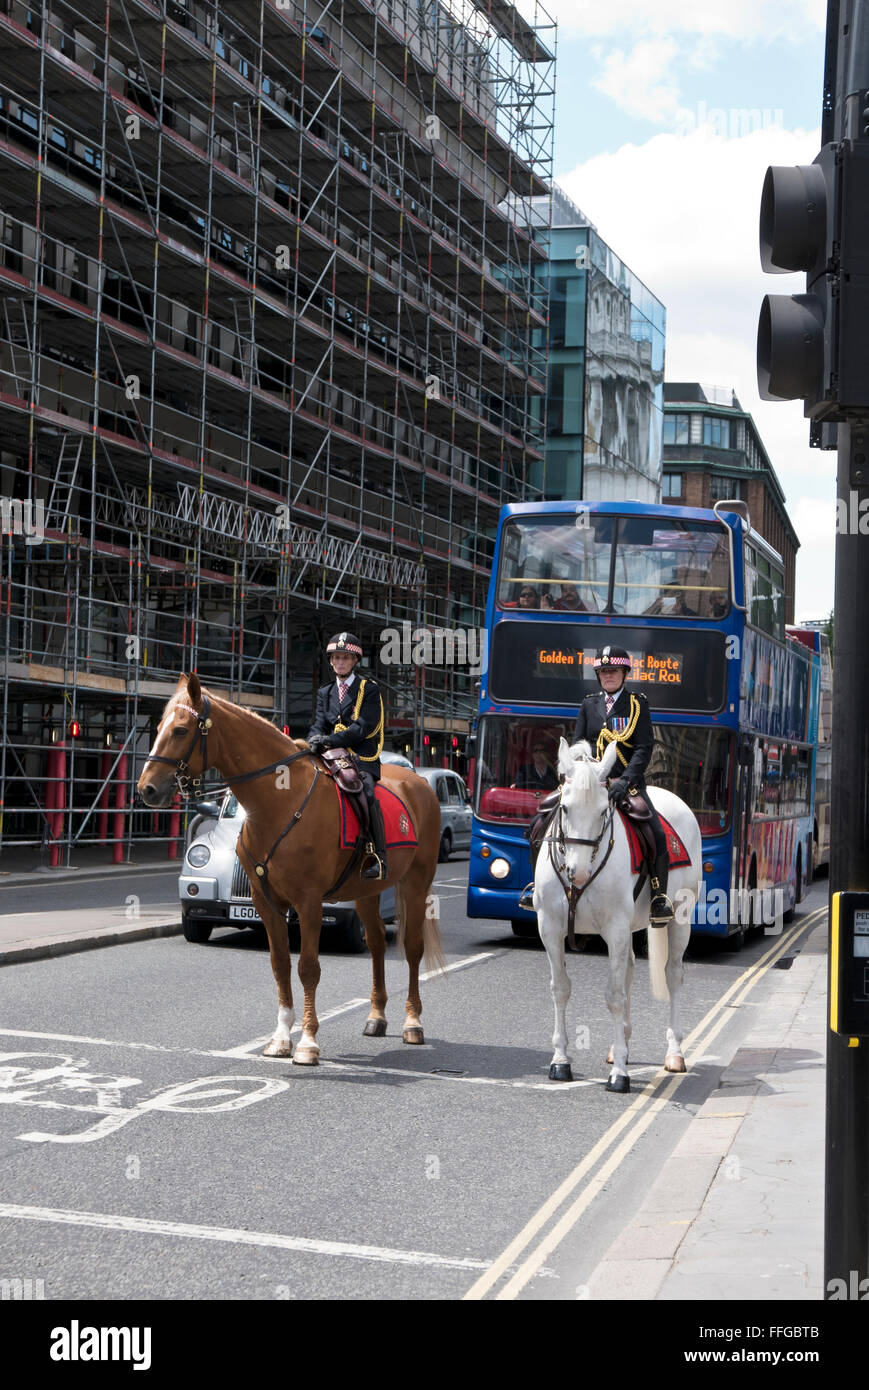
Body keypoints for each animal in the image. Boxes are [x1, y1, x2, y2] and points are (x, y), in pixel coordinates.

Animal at [140, 672, 447, 1061]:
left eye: (180, 730)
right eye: (158, 726)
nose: (146, 788)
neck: (278, 802)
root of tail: (417, 780)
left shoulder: (309, 902)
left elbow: (308, 968)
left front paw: (308, 1041)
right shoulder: (267, 902)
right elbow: (280, 964)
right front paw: (282, 1037)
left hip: (415, 882)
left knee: (411, 947)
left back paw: (412, 1022)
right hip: (366, 891)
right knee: (377, 943)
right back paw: (376, 1017)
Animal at [531, 733, 700, 1089]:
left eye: (602, 811)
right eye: (563, 808)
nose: (578, 873)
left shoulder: (616, 928)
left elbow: (614, 995)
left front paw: (620, 1073)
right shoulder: (549, 927)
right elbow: (561, 988)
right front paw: (560, 1061)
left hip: (680, 916)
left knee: (673, 974)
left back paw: (674, 1053)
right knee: (630, 970)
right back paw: (619, 1043)